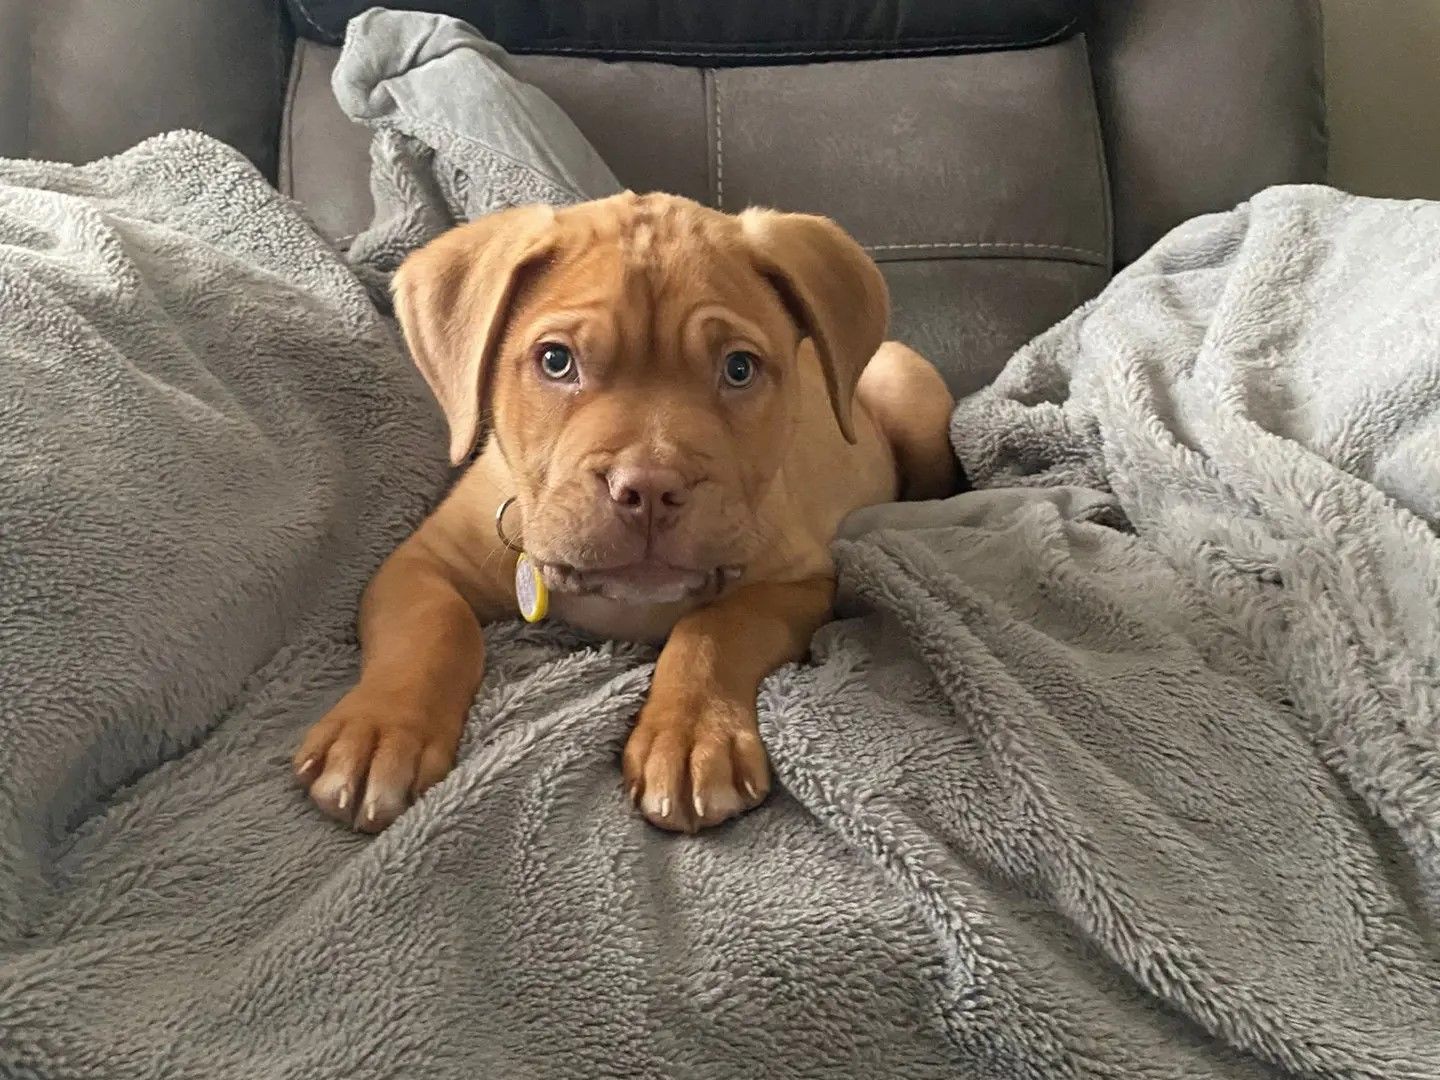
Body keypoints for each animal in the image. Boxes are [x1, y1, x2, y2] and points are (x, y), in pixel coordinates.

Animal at [292, 190, 956, 835]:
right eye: (556, 361)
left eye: (739, 369)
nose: (651, 487)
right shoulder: (419, 564)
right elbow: (431, 627)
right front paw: (380, 733)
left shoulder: (800, 579)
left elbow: (716, 628)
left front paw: (691, 738)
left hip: (906, 386)